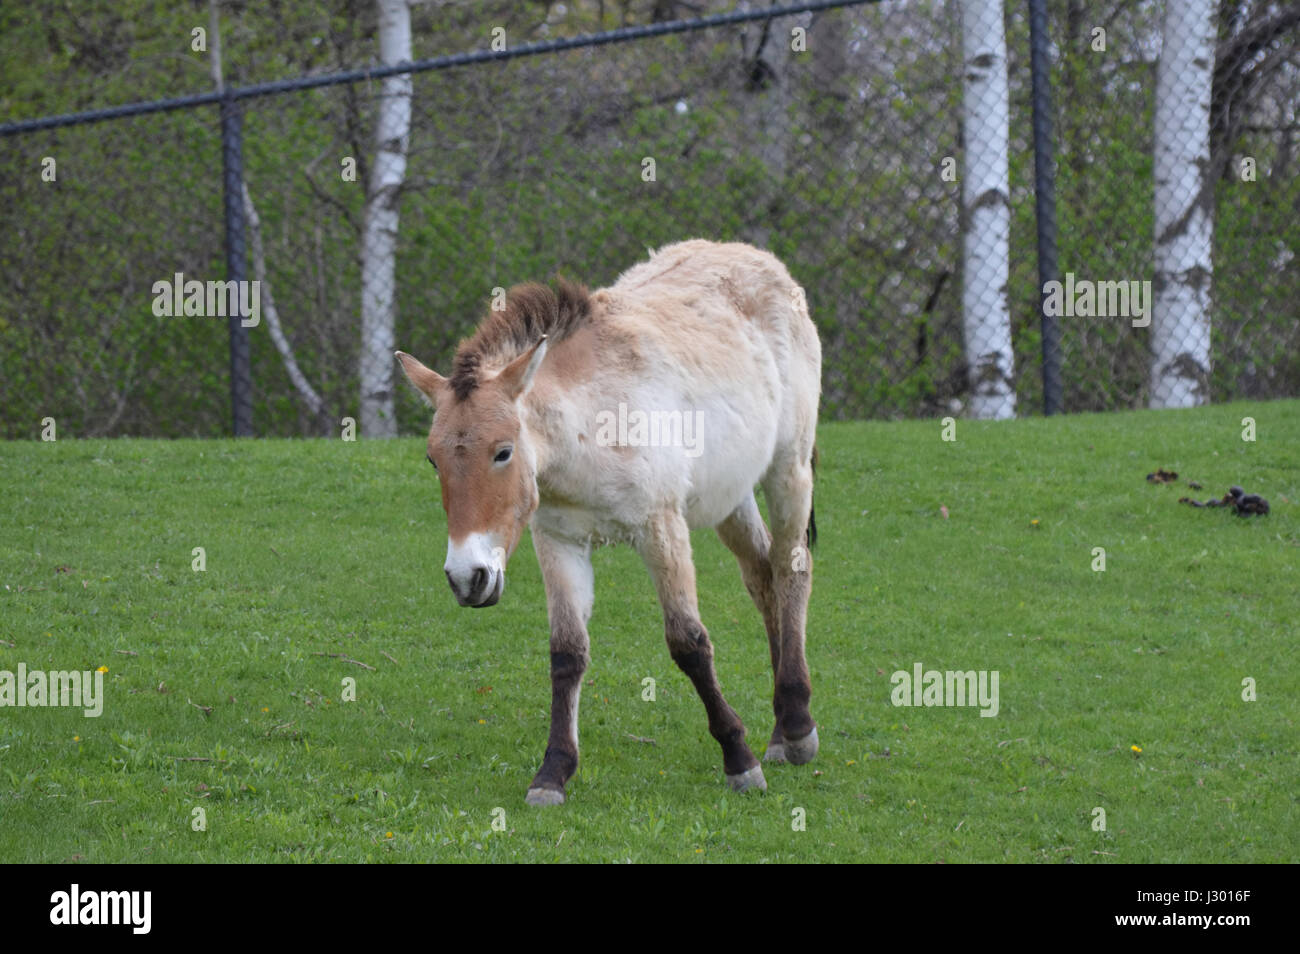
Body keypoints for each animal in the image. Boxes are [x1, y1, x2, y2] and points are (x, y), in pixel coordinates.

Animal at [395, 239, 821, 805]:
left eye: (503, 452)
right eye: (433, 460)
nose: (468, 578)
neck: (591, 424)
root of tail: (766, 263)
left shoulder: (662, 529)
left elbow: (688, 643)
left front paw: (738, 758)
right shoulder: (558, 541)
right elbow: (567, 652)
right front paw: (552, 772)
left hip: (787, 470)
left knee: (792, 568)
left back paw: (796, 726)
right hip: (731, 497)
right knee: (762, 574)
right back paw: (778, 731)